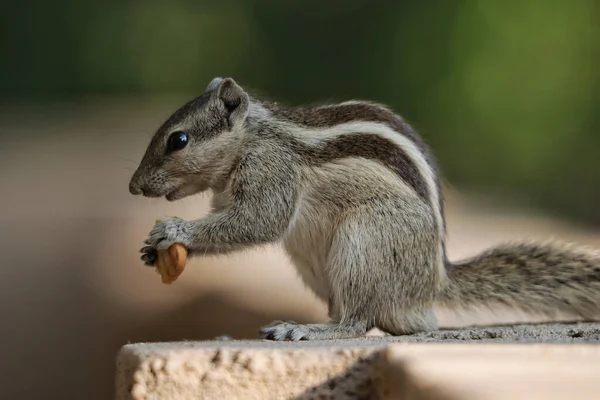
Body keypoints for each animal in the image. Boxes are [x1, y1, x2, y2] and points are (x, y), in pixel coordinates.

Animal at [129, 76, 600, 340]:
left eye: (178, 140)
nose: (133, 186)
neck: (254, 136)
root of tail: (433, 282)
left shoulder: (272, 172)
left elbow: (258, 222)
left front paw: (175, 231)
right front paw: (151, 251)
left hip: (365, 243)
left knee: (356, 322)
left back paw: (307, 330)